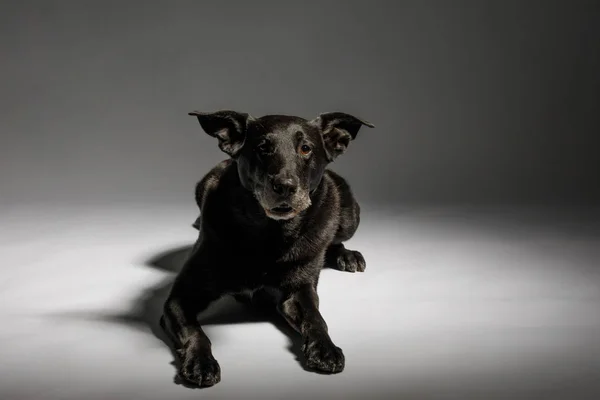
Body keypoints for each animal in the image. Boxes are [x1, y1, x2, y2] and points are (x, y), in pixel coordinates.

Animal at [162, 110, 372, 388]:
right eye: (262, 148)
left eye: (306, 148)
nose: (285, 186)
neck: (268, 235)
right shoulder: (179, 299)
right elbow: (195, 332)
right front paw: (200, 361)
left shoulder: (298, 291)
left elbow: (316, 318)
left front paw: (325, 348)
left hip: (348, 214)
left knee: (334, 239)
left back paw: (346, 256)